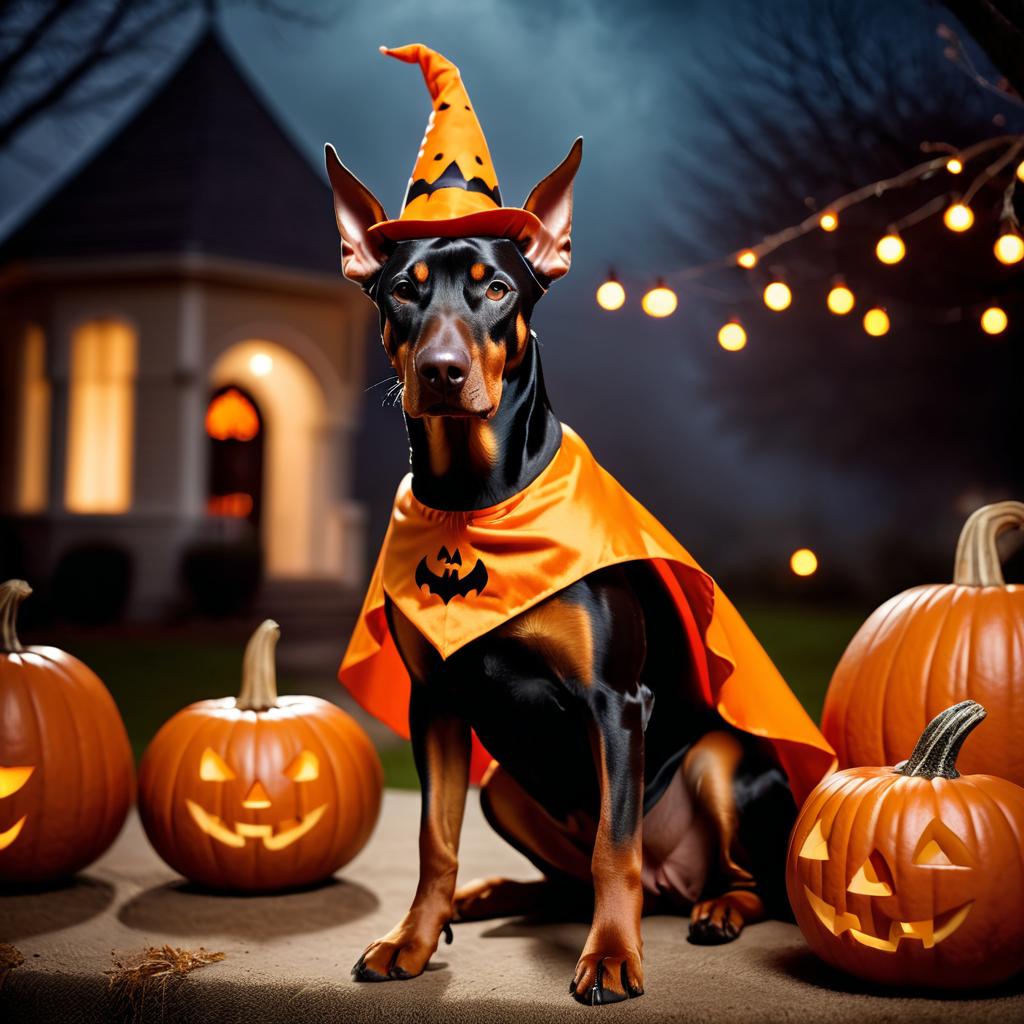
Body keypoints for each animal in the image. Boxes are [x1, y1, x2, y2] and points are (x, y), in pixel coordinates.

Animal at [327, 44, 831, 1003]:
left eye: (495, 288)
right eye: (403, 292)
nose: (441, 372)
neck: (477, 502)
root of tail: (678, 884)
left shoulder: (615, 704)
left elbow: (612, 849)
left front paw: (610, 956)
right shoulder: (436, 706)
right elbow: (434, 843)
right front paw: (413, 939)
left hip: (718, 760)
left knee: (740, 879)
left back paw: (714, 908)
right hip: (506, 788)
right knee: (557, 878)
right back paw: (487, 898)